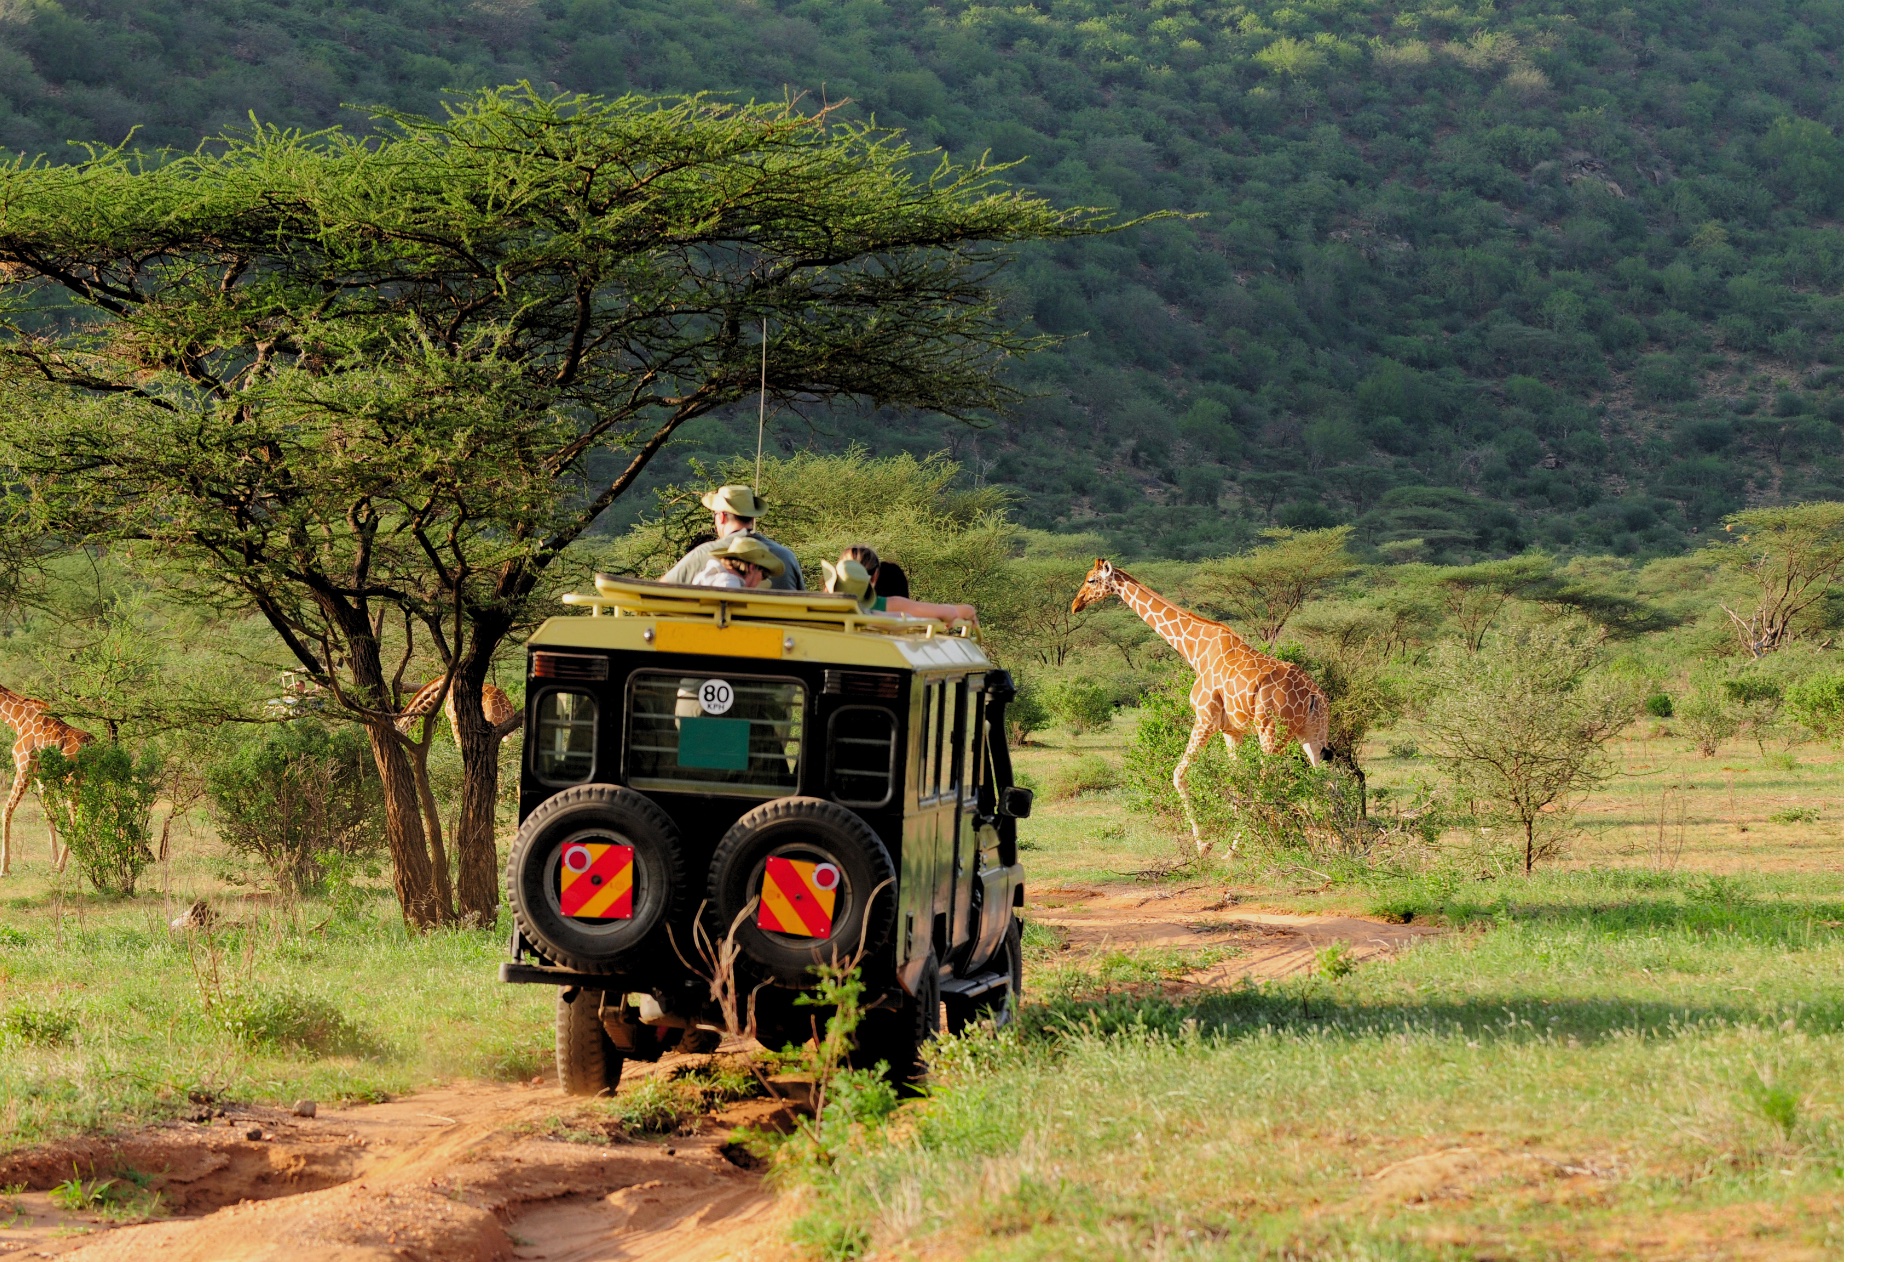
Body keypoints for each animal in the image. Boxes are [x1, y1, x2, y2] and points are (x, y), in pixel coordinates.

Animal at [0, 683, 94, 876]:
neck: (18, 719)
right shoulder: (41, 776)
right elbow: (49, 815)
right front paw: (52, 861)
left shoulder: (24, 767)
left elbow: (7, 810)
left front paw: (4, 868)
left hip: (73, 780)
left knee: (75, 815)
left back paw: (62, 866)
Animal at [1071, 559, 1332, 856]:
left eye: (1091, 580)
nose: (1076, 604)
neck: (1194, 650)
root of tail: (1313, 694)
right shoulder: (1232, 731)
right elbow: (1236, 781)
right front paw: (1241, 841)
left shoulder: (1206, 718)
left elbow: (1179, 774)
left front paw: (1205, 845)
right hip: (1312, 734)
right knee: (1326, 780)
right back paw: (1335, 842)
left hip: (1271, 731)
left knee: (1270, 780)